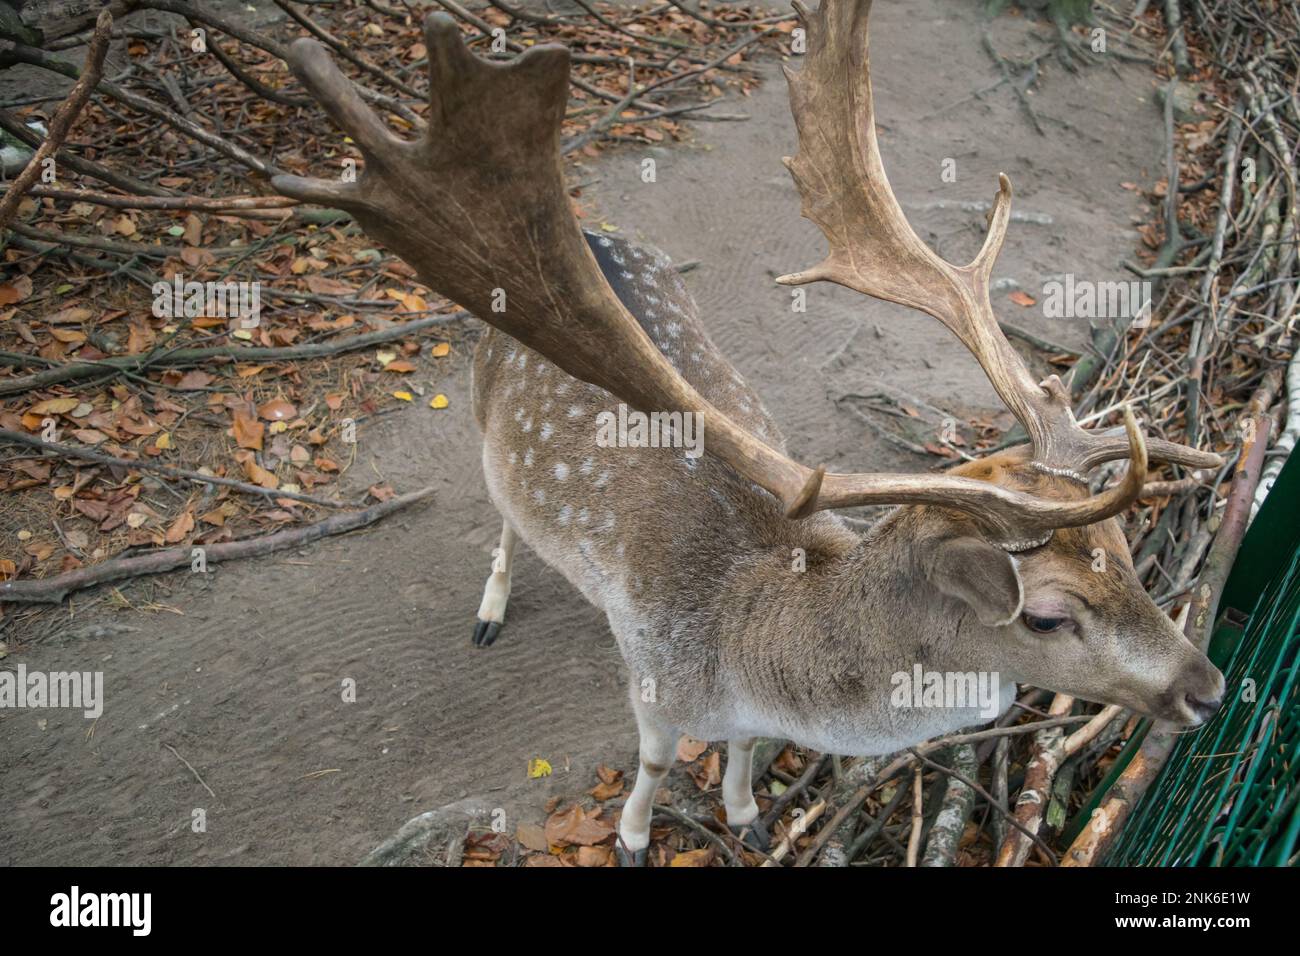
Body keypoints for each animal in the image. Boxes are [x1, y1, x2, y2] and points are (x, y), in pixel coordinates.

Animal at [272, 0, 1226, 865]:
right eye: (1047, 617)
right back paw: (490, 611)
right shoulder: (654, 674)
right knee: (504, 516)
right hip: (479, 409)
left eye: (1129, 557)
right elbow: (657, 761)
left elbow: (740, 751)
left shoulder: (735, 714)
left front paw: (745, 816)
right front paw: (633, 839)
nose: (1209, 688)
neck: (743, 652)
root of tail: (592, 230)